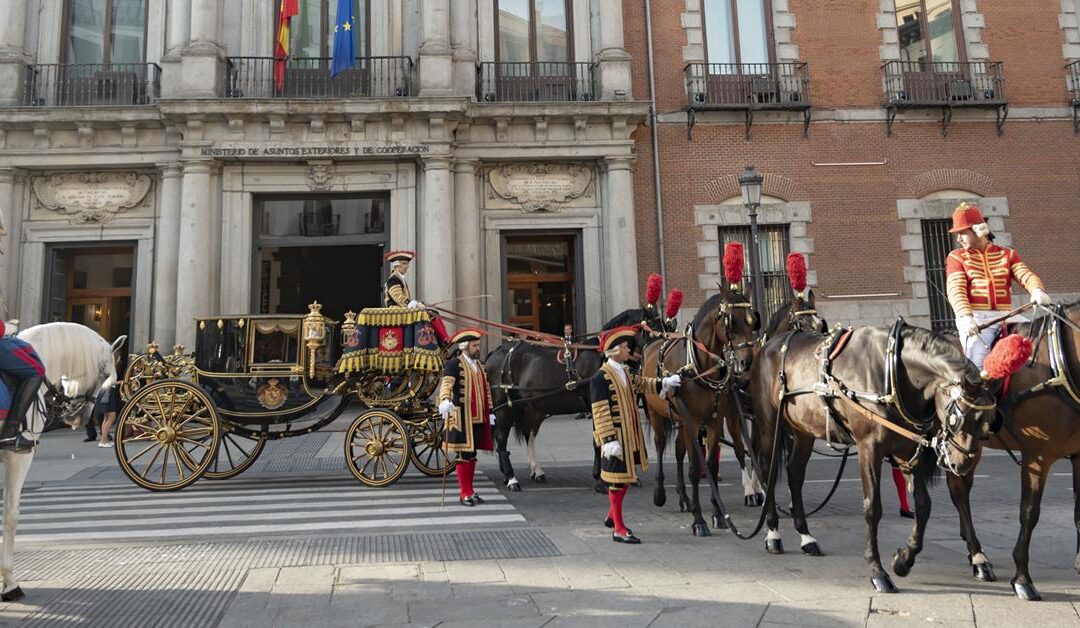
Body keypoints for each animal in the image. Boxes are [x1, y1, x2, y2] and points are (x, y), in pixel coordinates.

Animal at [490, 309, 665, 490]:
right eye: (651, 331)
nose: (660, 360)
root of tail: (495, 353)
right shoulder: (597, 404)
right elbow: (600, 440)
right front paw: (600, 479)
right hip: (504, 406)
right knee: (502, 439)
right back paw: (511, 478)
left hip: (530, 407)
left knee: (527, 434)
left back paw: (535, 471)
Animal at [639, 283, 760, 533]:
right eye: (730, 321)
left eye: (753, 321)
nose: (746, 363)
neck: (701, 366)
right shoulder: (692, 421)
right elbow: (695, 468)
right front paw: (699, 520)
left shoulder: (713, 420)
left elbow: (711, 466)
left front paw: (717, 514)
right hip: (658, 416)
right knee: (660, 446)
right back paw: (660, 493)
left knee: (678, 451)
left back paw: (684, 498)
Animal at [751, 317, 993, 592]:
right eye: (957, 416)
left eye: (986, 422)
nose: (962, 464)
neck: (893, 371)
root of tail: (769, 343)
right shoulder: (869, 449)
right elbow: (872, 508)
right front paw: (878, 571)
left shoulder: (908, 449)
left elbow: (923, 506)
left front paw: (903, 560)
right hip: (769, 423)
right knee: (767, 471)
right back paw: (773, 533)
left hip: (804, 430)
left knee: (794, 473)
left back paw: (806, 537)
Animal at [941, 300, 1080, 600]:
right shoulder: (1037, 458)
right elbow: (1029, 513)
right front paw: (1022, 580)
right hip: (961, 446)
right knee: (959, 492)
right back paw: (979, 558)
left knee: (961, 488)